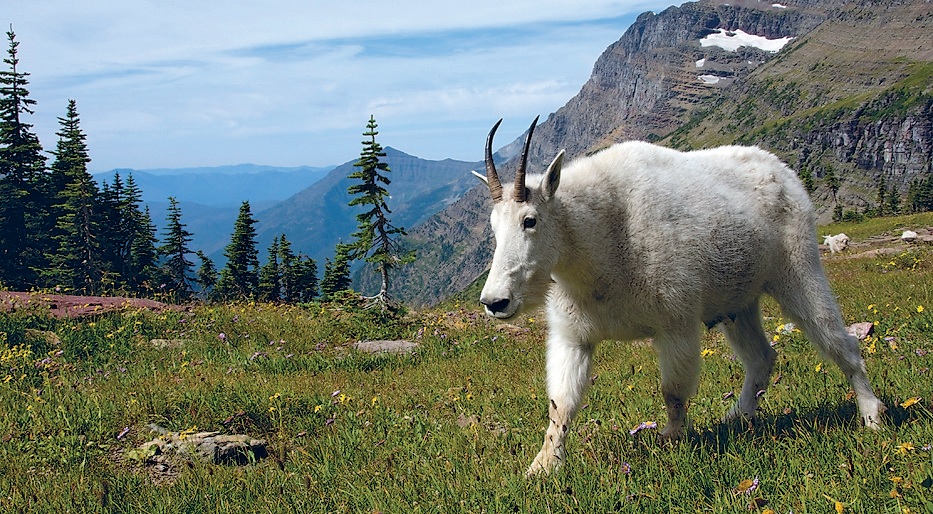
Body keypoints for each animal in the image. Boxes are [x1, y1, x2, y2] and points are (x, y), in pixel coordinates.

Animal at [476, 117, 884, 476]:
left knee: (839, 341)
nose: (495, 302)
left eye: (530, 220)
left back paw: (871, 416)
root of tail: (785, 171)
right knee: (761, 357)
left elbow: (672, 391)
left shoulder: (676, 321)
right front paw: (542, 468)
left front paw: (672, 440)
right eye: (493, 225)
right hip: (739, 302)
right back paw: (736, 418)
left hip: (797, 268)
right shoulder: (574, 336)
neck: (599, 237)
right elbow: (561, 404)